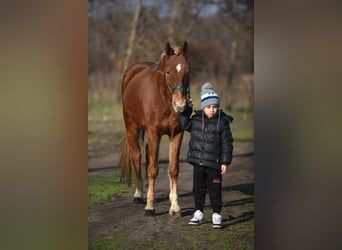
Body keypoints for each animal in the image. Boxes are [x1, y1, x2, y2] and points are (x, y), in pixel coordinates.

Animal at [120, 41, 190, 217]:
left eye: (187, 71)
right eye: (168, 72)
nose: (180, 105)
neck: (164, 99)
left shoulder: (177, 134)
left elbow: (173, 169)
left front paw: (175, 207)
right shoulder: (153, 133)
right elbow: (153, 168)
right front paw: (149, 207)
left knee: (146, 153)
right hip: (131, 127)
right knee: (137, 155)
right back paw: (139, 195)